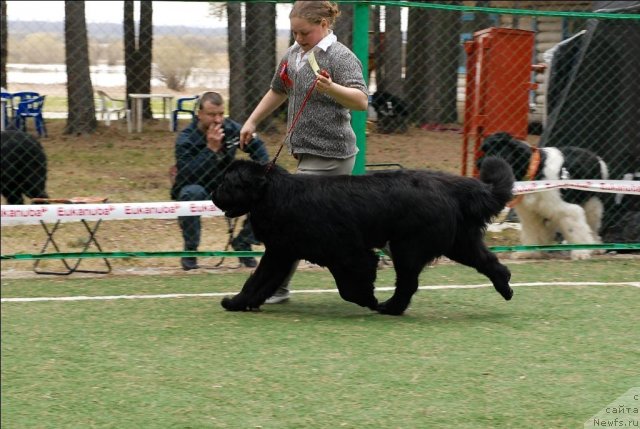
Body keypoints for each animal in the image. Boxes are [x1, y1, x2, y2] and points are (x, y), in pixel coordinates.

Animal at [214, 157, 516, 314]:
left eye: (226, 182)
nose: (214, 196)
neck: (273, 193)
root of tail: (451, 186)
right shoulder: (281, 252)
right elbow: (258, 281)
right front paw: (239, 302)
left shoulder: (349, 254)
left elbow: (348, 288)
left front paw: (368, 299)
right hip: (458, 242)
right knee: (490, 263)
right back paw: (506, 288)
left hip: (407, 247)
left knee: (408, 283)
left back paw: (389, 307)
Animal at [480, 131, 608, 258]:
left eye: (498, 152)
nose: (480, 166)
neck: (533, 172)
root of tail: (597, 158)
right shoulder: (530, 214)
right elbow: (531, 232)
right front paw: (529, 252)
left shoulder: (567, 209)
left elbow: (574, 229)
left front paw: (581, 251)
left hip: (592, 204)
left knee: (592, 226)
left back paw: (596, 246)